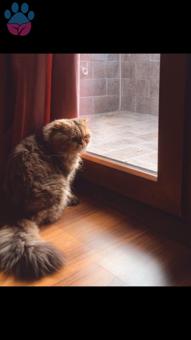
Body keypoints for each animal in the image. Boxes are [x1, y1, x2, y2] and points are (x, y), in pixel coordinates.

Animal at [0, 118, 90, 280]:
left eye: (86, 137)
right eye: (74, 138)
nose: (83, 143)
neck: (49, 144)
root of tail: (16, 213)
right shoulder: (66, 176)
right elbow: (70, 191)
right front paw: (72, 199)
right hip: (59, 187)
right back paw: (61, 211)